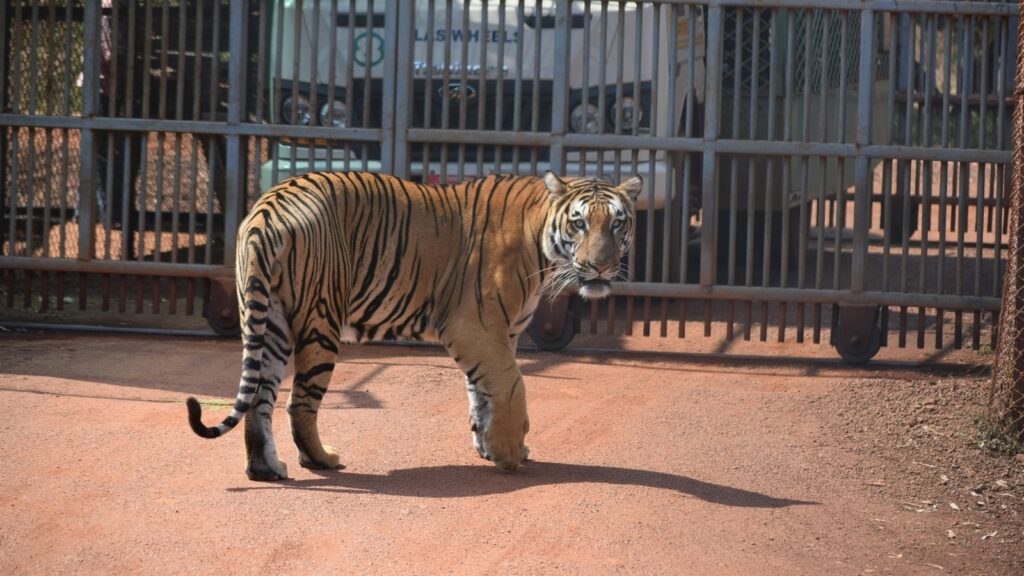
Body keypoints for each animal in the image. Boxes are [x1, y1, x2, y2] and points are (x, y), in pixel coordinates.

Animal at [186, 171, 642, 480]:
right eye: (579, 223)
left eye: (617, 223)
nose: (601, 267)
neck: (542, 242)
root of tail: (269, 207)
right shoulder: (475, 326)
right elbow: (511, 385)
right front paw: (510, 453)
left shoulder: (501, 333)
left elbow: (482, 393)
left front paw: (488, 445)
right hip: (320, 321)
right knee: (299, 403)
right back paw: (322, 459)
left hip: (269, 321)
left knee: (259, 398)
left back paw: (265, 468)